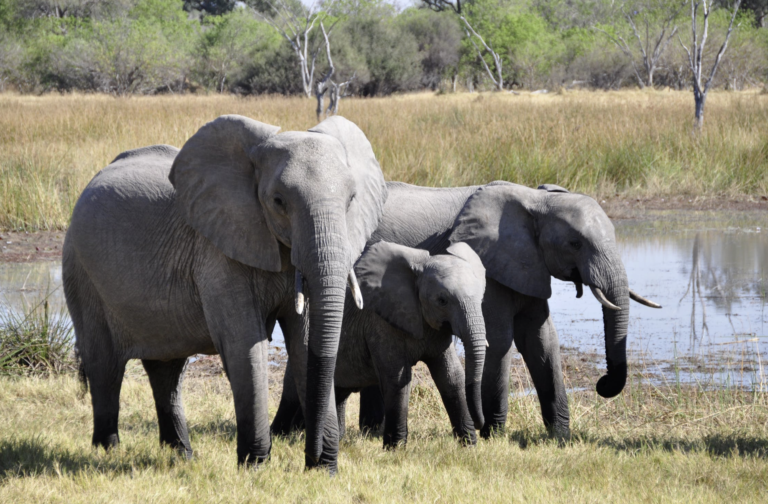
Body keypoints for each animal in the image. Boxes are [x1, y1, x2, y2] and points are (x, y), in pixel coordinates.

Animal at [62, 114, 387, 472]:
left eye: (351, 200)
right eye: (278, 201)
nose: (313, 458)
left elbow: (304, 343)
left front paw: (323, 470)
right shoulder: (217, 251)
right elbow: (244, 344)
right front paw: (255, 466)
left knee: (167, 370)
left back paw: (182, 455)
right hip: (80, 270)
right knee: (104, 364)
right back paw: (107, 451)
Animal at [275, 240, 487, 448]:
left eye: (481, 298)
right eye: (442, 301)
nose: (480, 424)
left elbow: (451, 376)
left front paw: (469, 445)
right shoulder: (379, 323)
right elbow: (398, 379)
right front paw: (396, 449)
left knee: (339, 392)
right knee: (294, 392)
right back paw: (281, 437)